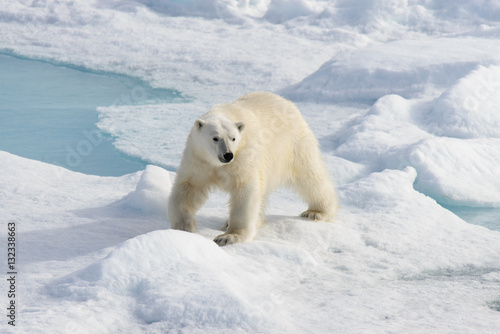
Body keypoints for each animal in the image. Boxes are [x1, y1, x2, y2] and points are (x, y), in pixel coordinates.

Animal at [167, 91, 336, 245]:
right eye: (215, 138)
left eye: (233, 138)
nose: (228, 155)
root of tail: (287, 103)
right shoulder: (198, 160)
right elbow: (188, 188)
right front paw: (184, 226)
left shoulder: (243, 157)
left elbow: (245, 190)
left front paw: (229, 237)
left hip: (294, 146)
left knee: (309, 176)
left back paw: (316, 212)